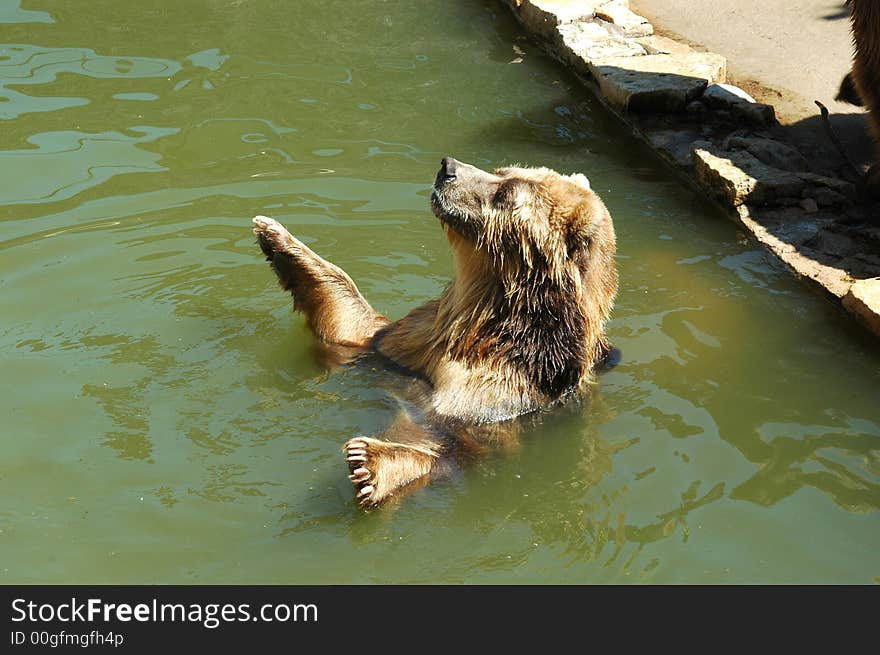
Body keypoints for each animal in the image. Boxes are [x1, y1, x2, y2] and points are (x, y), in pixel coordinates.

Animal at [251, 158, 616, 508]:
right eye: (500, 171)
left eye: (506, 193)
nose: (448, 167)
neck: (479, 314)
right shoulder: (412, 341)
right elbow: (354, 326)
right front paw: (273, 234)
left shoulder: (502, 388)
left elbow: (439, 441)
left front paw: (370, 464)